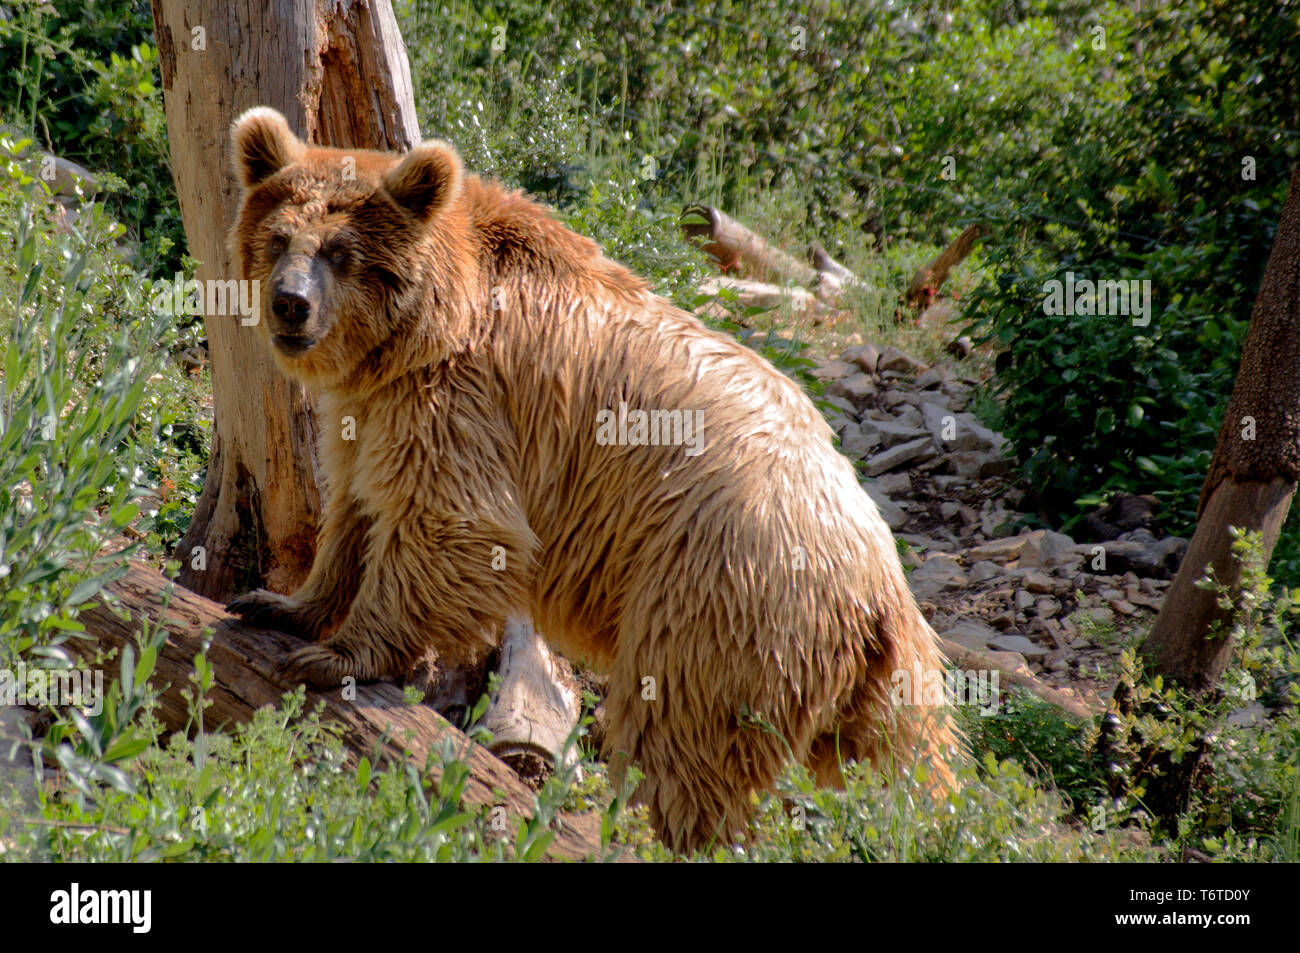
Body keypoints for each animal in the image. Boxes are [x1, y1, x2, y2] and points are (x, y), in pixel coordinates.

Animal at [220, 107, 956, 852]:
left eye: (341, 252)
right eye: (278, 237)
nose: (289, 305)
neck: (416, 334)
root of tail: (880, 570)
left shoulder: (465, 398)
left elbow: (451, 523)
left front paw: (336, 656)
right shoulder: (373, 408)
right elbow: (356, 507)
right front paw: (281, 603)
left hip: (724, 590)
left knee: (685, 736)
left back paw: (656, 830)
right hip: (857, 659)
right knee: (904, 750)